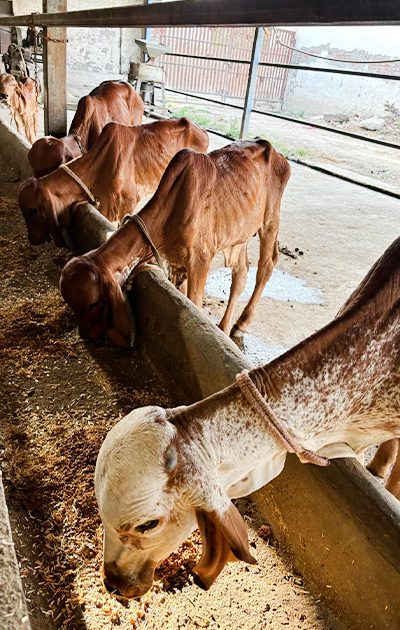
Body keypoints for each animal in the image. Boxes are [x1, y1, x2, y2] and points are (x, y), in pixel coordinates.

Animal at [59, 141, 290, 346]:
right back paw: (224, 328)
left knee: (266, 266)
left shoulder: (200, 259)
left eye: (93, 304)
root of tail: (276, 152)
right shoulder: (178, 263)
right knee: (240, 273)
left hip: (270, 222)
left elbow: (194, 303)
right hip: (239, 234)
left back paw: (241, 324)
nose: (85, 335)